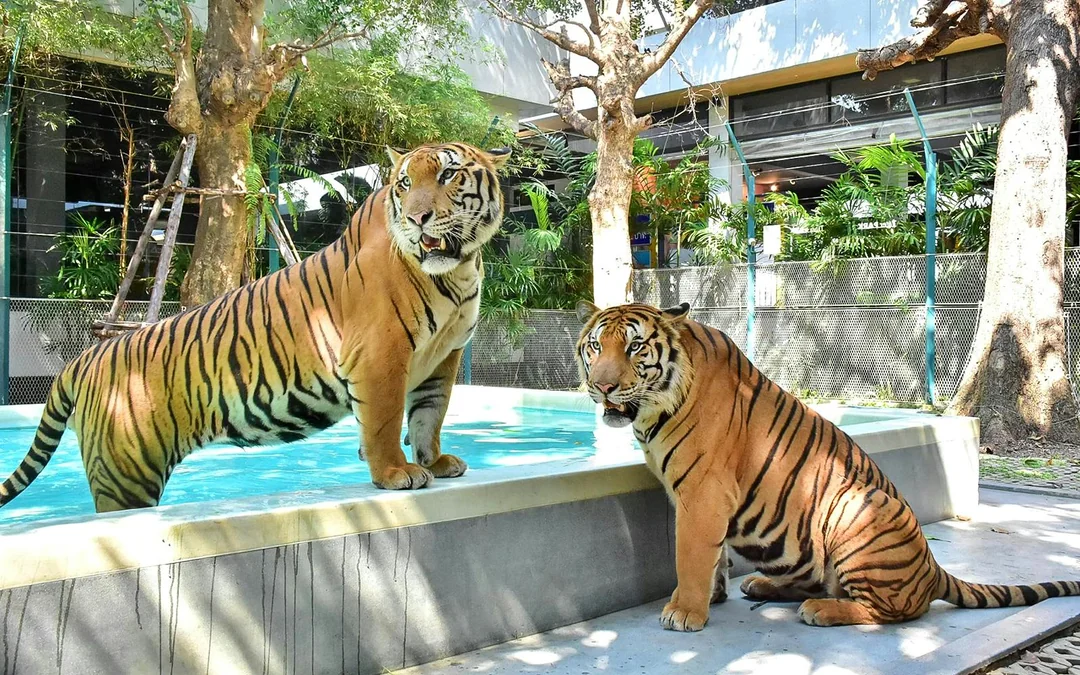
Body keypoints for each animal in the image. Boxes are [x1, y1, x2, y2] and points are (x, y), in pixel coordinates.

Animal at [0, 142, 511, 513]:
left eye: (447, 175)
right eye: (405, 184)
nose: (417, 218)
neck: (459, 270)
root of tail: (85, 358)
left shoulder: (444, 357)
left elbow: (429, 415)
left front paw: (435, 462)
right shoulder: (380, 355)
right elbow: (385, 421)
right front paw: (394, 472)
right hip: (125, 476)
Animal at [574, 300, 1080, 631]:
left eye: (635, 348)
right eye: (596, 347)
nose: (602, 387)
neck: (654, 407)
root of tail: (932, 568)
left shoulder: (703, 494)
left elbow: (691, 556)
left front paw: (685, 611)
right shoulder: (696, 496)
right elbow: (712, 557)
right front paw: (713, 596)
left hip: (858, 505)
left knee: (893, 610)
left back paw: (821, 612)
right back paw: (761, 585)